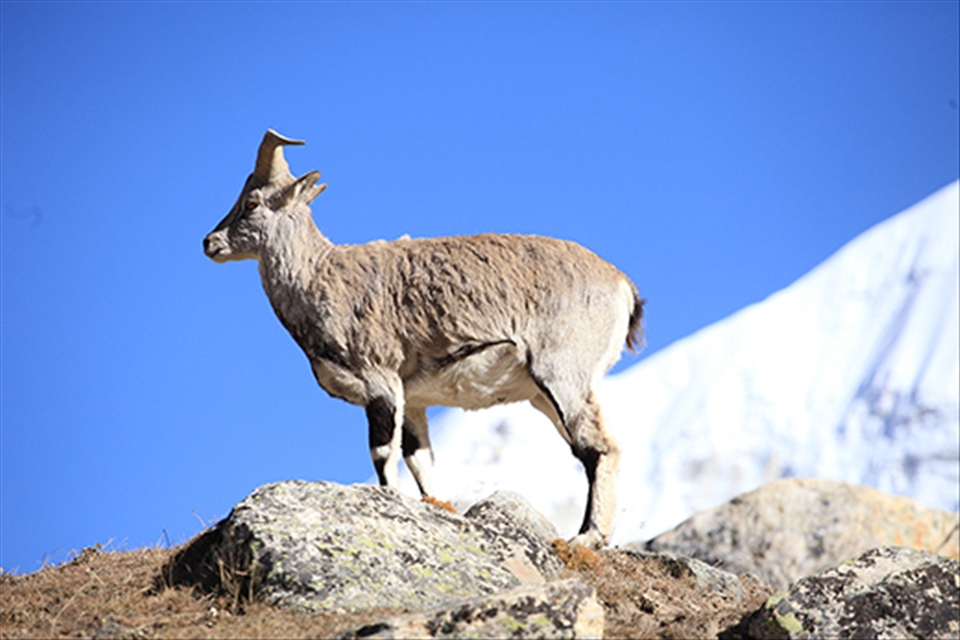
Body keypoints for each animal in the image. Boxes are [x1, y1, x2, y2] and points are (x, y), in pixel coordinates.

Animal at [203, 130, 643, 548]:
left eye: (252, 204)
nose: (210, 242)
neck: (319, 277)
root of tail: (622, 286)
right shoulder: (412, 400)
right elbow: (421, 462)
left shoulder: (380, 382)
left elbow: (383, 455)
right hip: (543, 393)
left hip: (561, 374)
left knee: (598, 447)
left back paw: (587, 537)